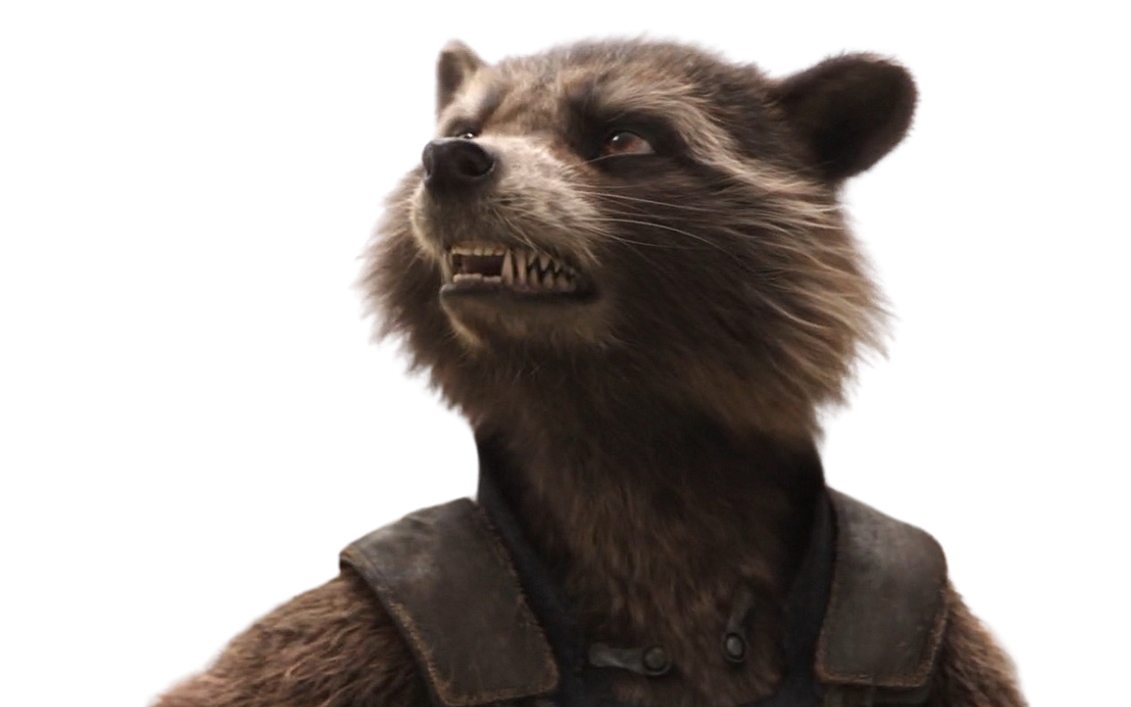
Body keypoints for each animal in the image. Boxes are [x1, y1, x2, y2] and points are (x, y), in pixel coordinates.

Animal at [145, 32, 1029, 707]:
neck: (612, 421)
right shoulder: (372, 616)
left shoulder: (931, 624)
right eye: (471, 122)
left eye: (621, 138)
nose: (447, 157)